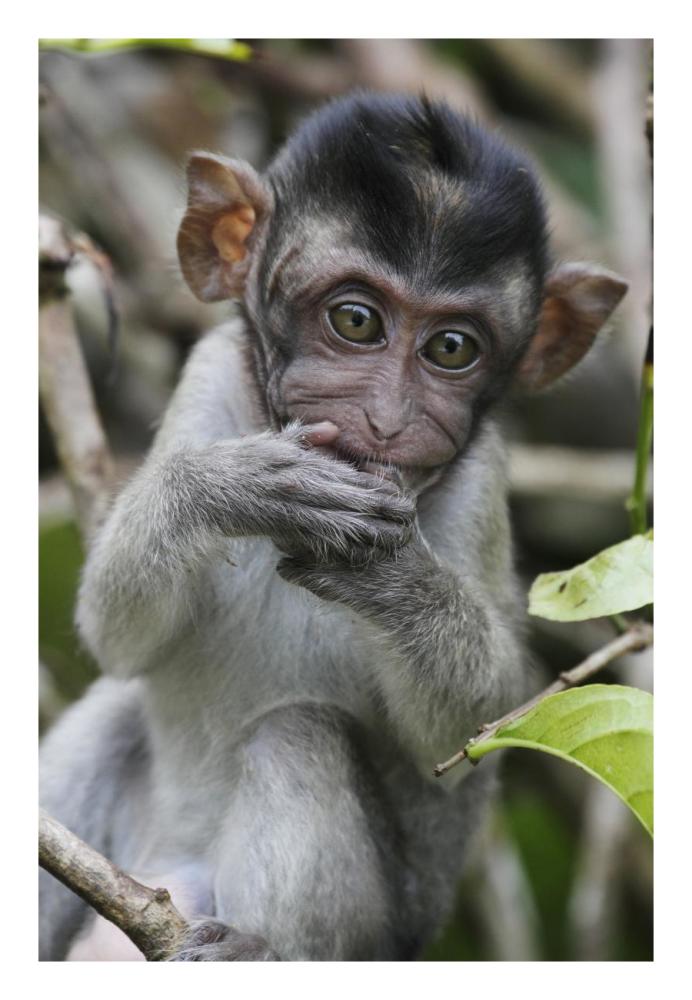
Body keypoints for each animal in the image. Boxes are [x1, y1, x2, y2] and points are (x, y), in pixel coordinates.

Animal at [39, 92, 627, 962]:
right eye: (355, 321)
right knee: (113, 714)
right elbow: (117, 636)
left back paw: (262, 952)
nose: (385, 422)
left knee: (296, 732)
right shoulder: (209, 373)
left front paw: (384, 575)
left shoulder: (481, 475)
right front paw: (232, 487)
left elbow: (473, 730)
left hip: (374, 939)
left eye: (452, 348)